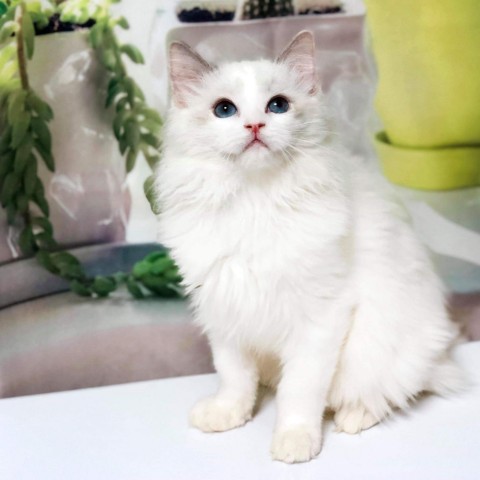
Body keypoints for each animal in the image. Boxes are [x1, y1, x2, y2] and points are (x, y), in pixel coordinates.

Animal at [155, 31, 464, 463]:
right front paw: (229, 413)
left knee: (391, 392)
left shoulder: (319, 319)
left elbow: (299, 392)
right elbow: (235, 378)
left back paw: (353, 416)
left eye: (278, 105)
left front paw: (296, 440)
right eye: (224, 110)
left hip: (377, 351)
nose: (255, 124)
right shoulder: (224, 310)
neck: (254, 202)